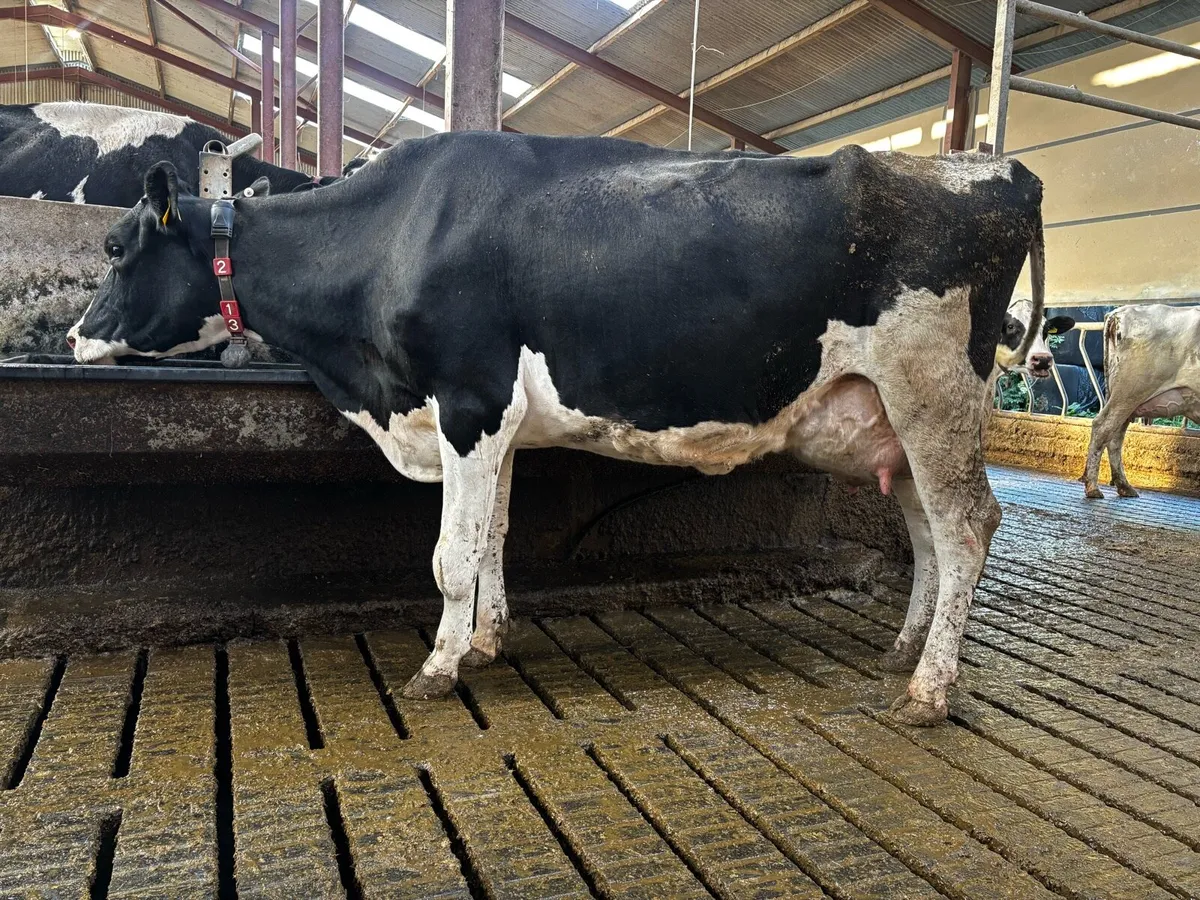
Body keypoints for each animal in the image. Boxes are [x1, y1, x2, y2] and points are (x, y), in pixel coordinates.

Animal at [67, 134, 1047, 726]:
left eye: (116, 250)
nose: (74, 338)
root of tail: (994, 168)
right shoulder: (493, 424)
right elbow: (493, 535)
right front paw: (487, 639)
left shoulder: (468, 399)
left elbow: (451, 555)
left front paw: (438, 668)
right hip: (898, 418)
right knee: (928, 533)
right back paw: (903, 652)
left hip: (932, 389)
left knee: (966, 527)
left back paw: (928, 691)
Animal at [1082, 304, 1200, 499]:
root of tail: (1119, 312)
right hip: (1129, 392)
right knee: (1103, 427)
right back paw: (1093, 487)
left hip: (1126, 398)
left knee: (1115, 436)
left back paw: (1124, 486)